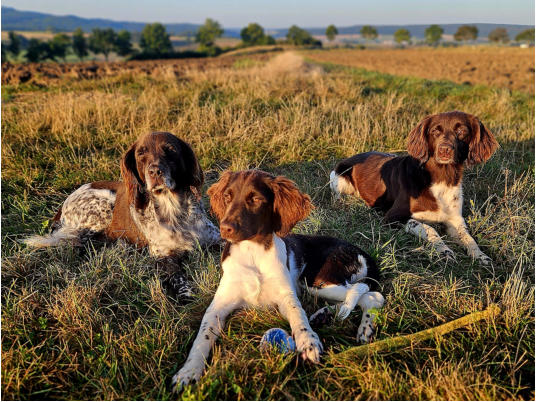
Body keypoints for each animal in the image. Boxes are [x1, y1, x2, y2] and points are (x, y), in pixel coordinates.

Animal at [170, 170, 384, 390]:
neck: (252, 253)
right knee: (362, 297)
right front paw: (188, 371)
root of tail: (357, 250)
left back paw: (363, 328)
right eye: (227, 197)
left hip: (316, 281)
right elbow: (203, 335)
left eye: (255, 199)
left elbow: (299, 315)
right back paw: (327, 316)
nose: (224, 228)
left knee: (371, 295)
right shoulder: (218, 305)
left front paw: (308, 341)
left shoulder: (286, 297)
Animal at [330, 111, 498, 266]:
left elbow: (468, 238)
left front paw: (481, 256)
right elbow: (429, 228)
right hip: (339, 179)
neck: (441, 178)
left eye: (462, 131)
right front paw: (444, 250)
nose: (444, 150)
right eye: (435, 131)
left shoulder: (455, 219)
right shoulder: (392, 218)